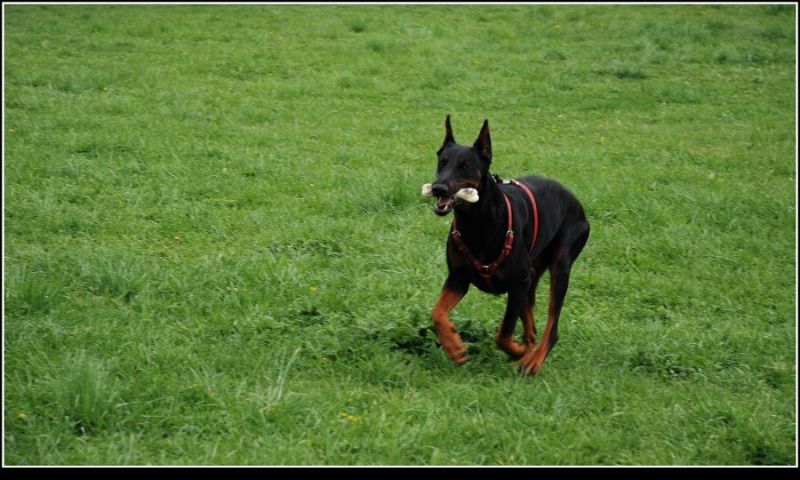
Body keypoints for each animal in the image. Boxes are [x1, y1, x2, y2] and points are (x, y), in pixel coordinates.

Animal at [422, 115, 590, 375]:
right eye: (442, 162)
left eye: (465, 166)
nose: (439, 188)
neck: (477, 223)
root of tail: (575, 201)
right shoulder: (458, 277)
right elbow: (438, 313)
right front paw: (455, 347)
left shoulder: (518, 281)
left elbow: (503, 334)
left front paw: (517, 351)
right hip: (533, 274)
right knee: (531, 324)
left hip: (560, 263)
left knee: (552, 326)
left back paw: (531, 361)